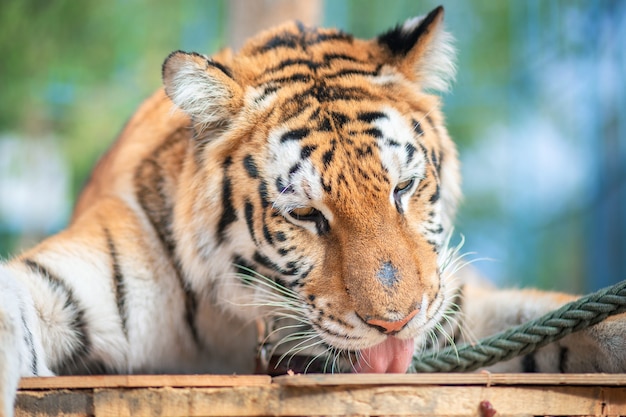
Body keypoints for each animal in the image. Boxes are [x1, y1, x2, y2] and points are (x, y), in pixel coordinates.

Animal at [1, 6, 624, 416]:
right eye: (305, 215)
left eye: (404, 188)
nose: (395, 324)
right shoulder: (60, 286)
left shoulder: (457, 305)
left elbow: (573, 322)